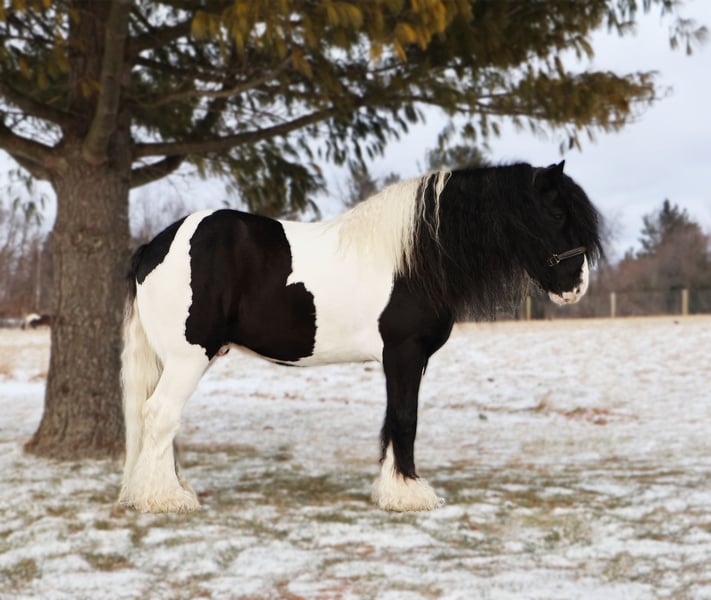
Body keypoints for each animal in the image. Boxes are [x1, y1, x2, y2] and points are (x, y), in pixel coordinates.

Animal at [118, 160, 602, 513]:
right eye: (557, 213)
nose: (577, 287)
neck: (415, 256)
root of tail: (153, 247)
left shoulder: (401, 361)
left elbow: (391, 419)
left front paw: (390, 489)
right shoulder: (405, 353)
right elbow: (405, 419)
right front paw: (410, 494)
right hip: (188, 357)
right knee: (160, 414)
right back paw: (165, 499)